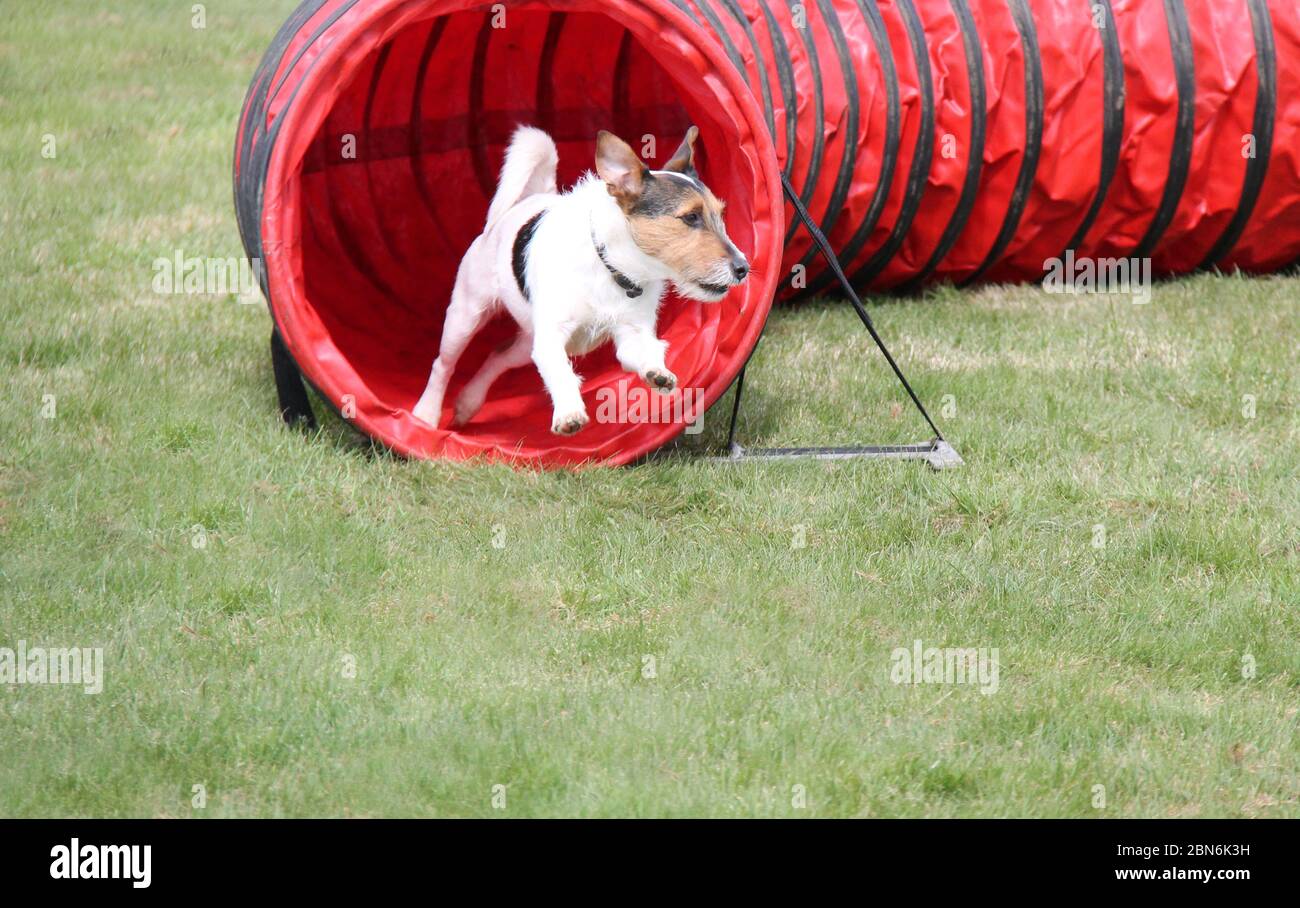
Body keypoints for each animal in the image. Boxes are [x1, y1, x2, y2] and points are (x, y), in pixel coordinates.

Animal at [405, 125, 754, 434]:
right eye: (691, 217)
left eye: (720, 215)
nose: (744, 268)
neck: (613, 269)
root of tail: (532, 198)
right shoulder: (550, 338)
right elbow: (560, 372)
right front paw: (568, 413)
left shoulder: (629, 334)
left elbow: (644, 351)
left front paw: (657, 371)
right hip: (466, 316)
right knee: (443, 364)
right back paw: (425, 414)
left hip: (526, 342)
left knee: (497, 357)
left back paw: (468, 402)